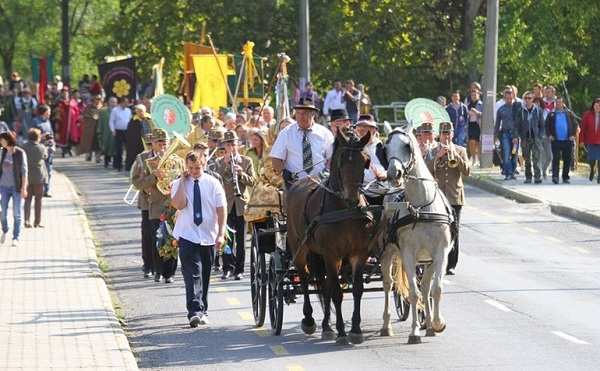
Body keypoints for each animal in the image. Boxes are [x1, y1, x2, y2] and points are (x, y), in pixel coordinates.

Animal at [284, 129, 372, 346]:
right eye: (342, 160)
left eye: (366, 161)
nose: (352, 198)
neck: (344, 211)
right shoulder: (331, 253)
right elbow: (337, 293)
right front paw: (341, 332)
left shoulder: (358, 253)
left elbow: (356, 289)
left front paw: (355, 330)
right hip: (299, 247)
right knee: (305, 279)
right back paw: (309, 320)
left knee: (325, 284)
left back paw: (326, 326)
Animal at [380, 123, 454, 346]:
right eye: (385, 148)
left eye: (407, 146)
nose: (393, 175)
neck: (422, 207)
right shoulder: (408, 255)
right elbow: (413, 293)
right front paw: (414, 331)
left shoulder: (440, 253)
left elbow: (435, 289)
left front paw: (437, 323)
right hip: (388, 254)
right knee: (388, 284)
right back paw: (386, 325)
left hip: (427, 261)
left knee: (426, 286)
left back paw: (428, 324)